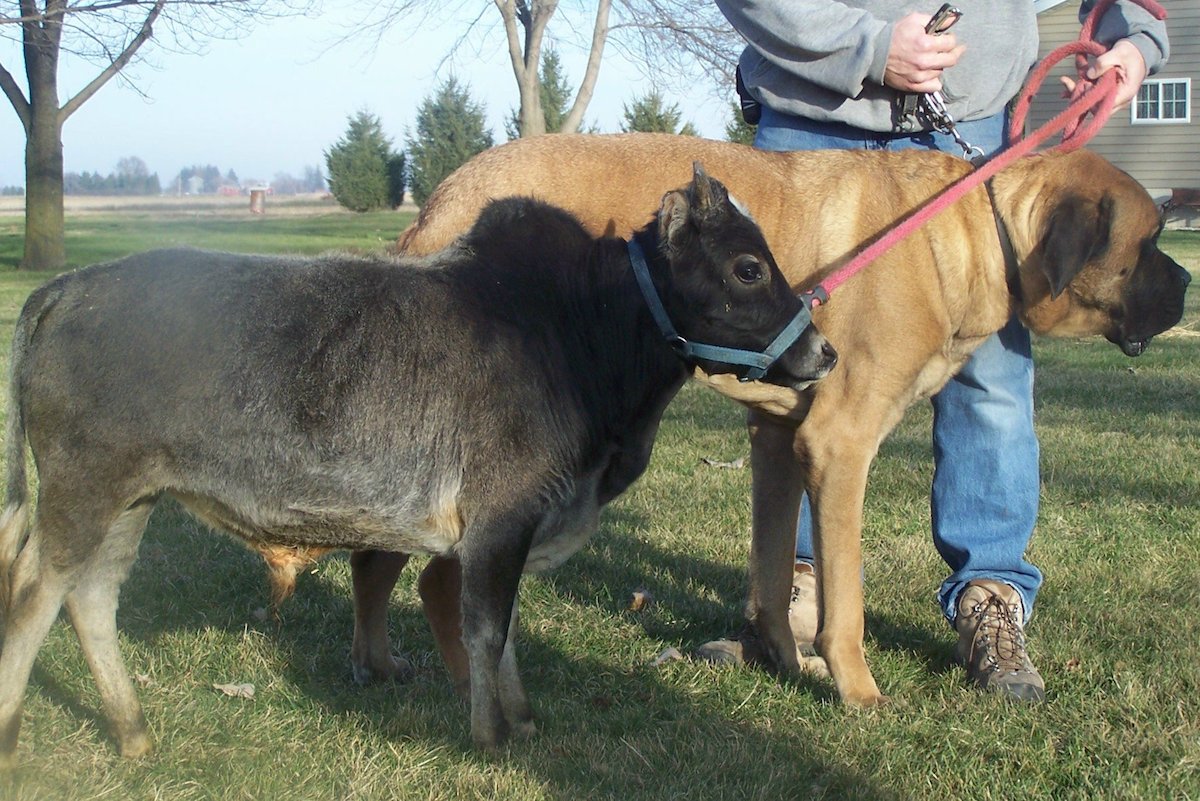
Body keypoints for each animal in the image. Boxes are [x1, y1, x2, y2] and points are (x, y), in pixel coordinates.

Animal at [0, 165, 835, 762]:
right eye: (748, 267)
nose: (822, 352)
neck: (574, 329)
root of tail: (67, 288)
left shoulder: (515, 526)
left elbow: (502, 628)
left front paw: (520, 717)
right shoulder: (501, 519)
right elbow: (485, 628)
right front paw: (491, 735)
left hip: (129, 499)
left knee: (92, 600)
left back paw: (134, 731)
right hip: (81, 492)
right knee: (36, 595)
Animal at [355, 131, 1190, 705]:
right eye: (1149, 239)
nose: (1186, 282)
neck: (969, 232)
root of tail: (440, 199)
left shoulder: (782, 440)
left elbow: (772, 566)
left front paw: (783, 661)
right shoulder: (840, 444)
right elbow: (845, 597)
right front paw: (857, 690)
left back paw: (381, 662)